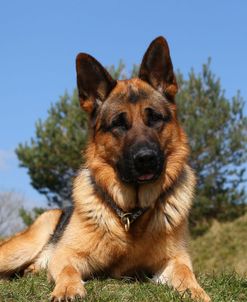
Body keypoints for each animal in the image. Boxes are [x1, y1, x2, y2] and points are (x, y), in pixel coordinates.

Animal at [0, 36, 210, 300]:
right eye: (118, 124)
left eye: (154, 118)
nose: (146, 158)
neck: (130, 215)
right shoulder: (66, 255)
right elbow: (68, 270)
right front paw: (68, 288)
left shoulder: (174, 259)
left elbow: (185, 272)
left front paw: (196, 291)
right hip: (24, 245)